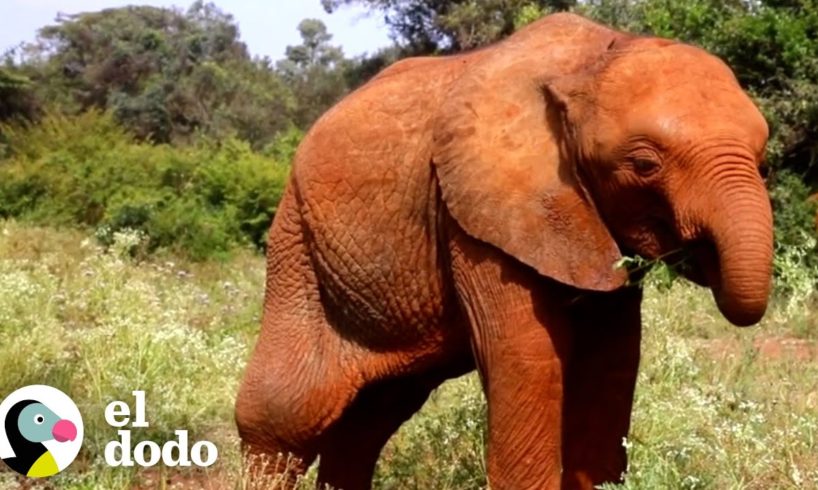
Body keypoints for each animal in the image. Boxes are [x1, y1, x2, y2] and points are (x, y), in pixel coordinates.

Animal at [235, 12, 772, 490]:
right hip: (297, 243)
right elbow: (527, 356)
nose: (700, 252)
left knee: (370, 417)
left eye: (762, 159)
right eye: (644, 165)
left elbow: (612, 358)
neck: (591, 59)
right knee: (283, 412)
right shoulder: (475, 216)